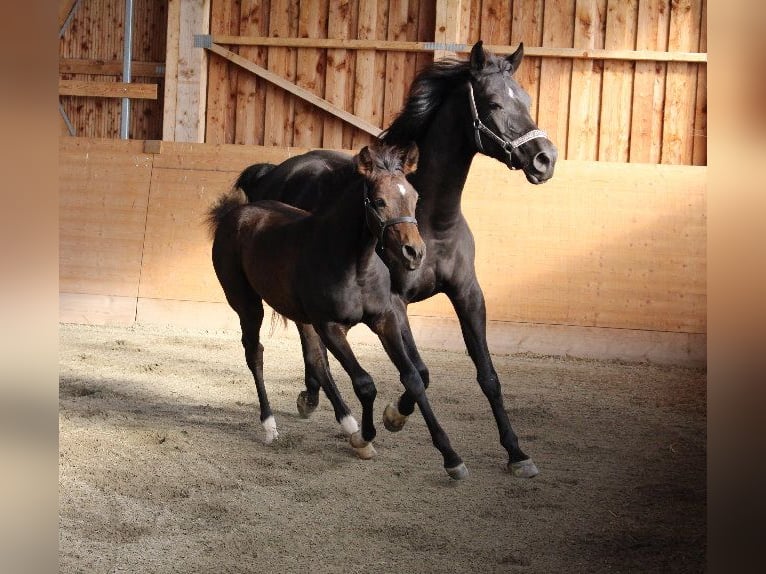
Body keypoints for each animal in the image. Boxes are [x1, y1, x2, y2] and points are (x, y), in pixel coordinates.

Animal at [208, 142, 470, 479]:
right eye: (379, 201)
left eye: (414, 198)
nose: (414, 253)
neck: (355, 263)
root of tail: (233, 213)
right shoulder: (330, 325)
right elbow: (365, 383)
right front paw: (364, 438)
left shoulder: (383, 319)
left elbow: (411, 376)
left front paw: (451, 457)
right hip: (247, 303)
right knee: (255, 353)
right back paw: (270, 426)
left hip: (300, 316)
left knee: (315, 360)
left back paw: (345, 421)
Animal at [234, 41, 557, 478]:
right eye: (492, 103)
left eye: (525, 100)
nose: (545, 159)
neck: (434, 221)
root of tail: (272, 170)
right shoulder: (396, 303)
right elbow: (418, 372)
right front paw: (395, 417)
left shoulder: (468, 294)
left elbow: (488, 375)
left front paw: (517, 452)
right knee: (313, 347)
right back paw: (331, 410)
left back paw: (314, 400)